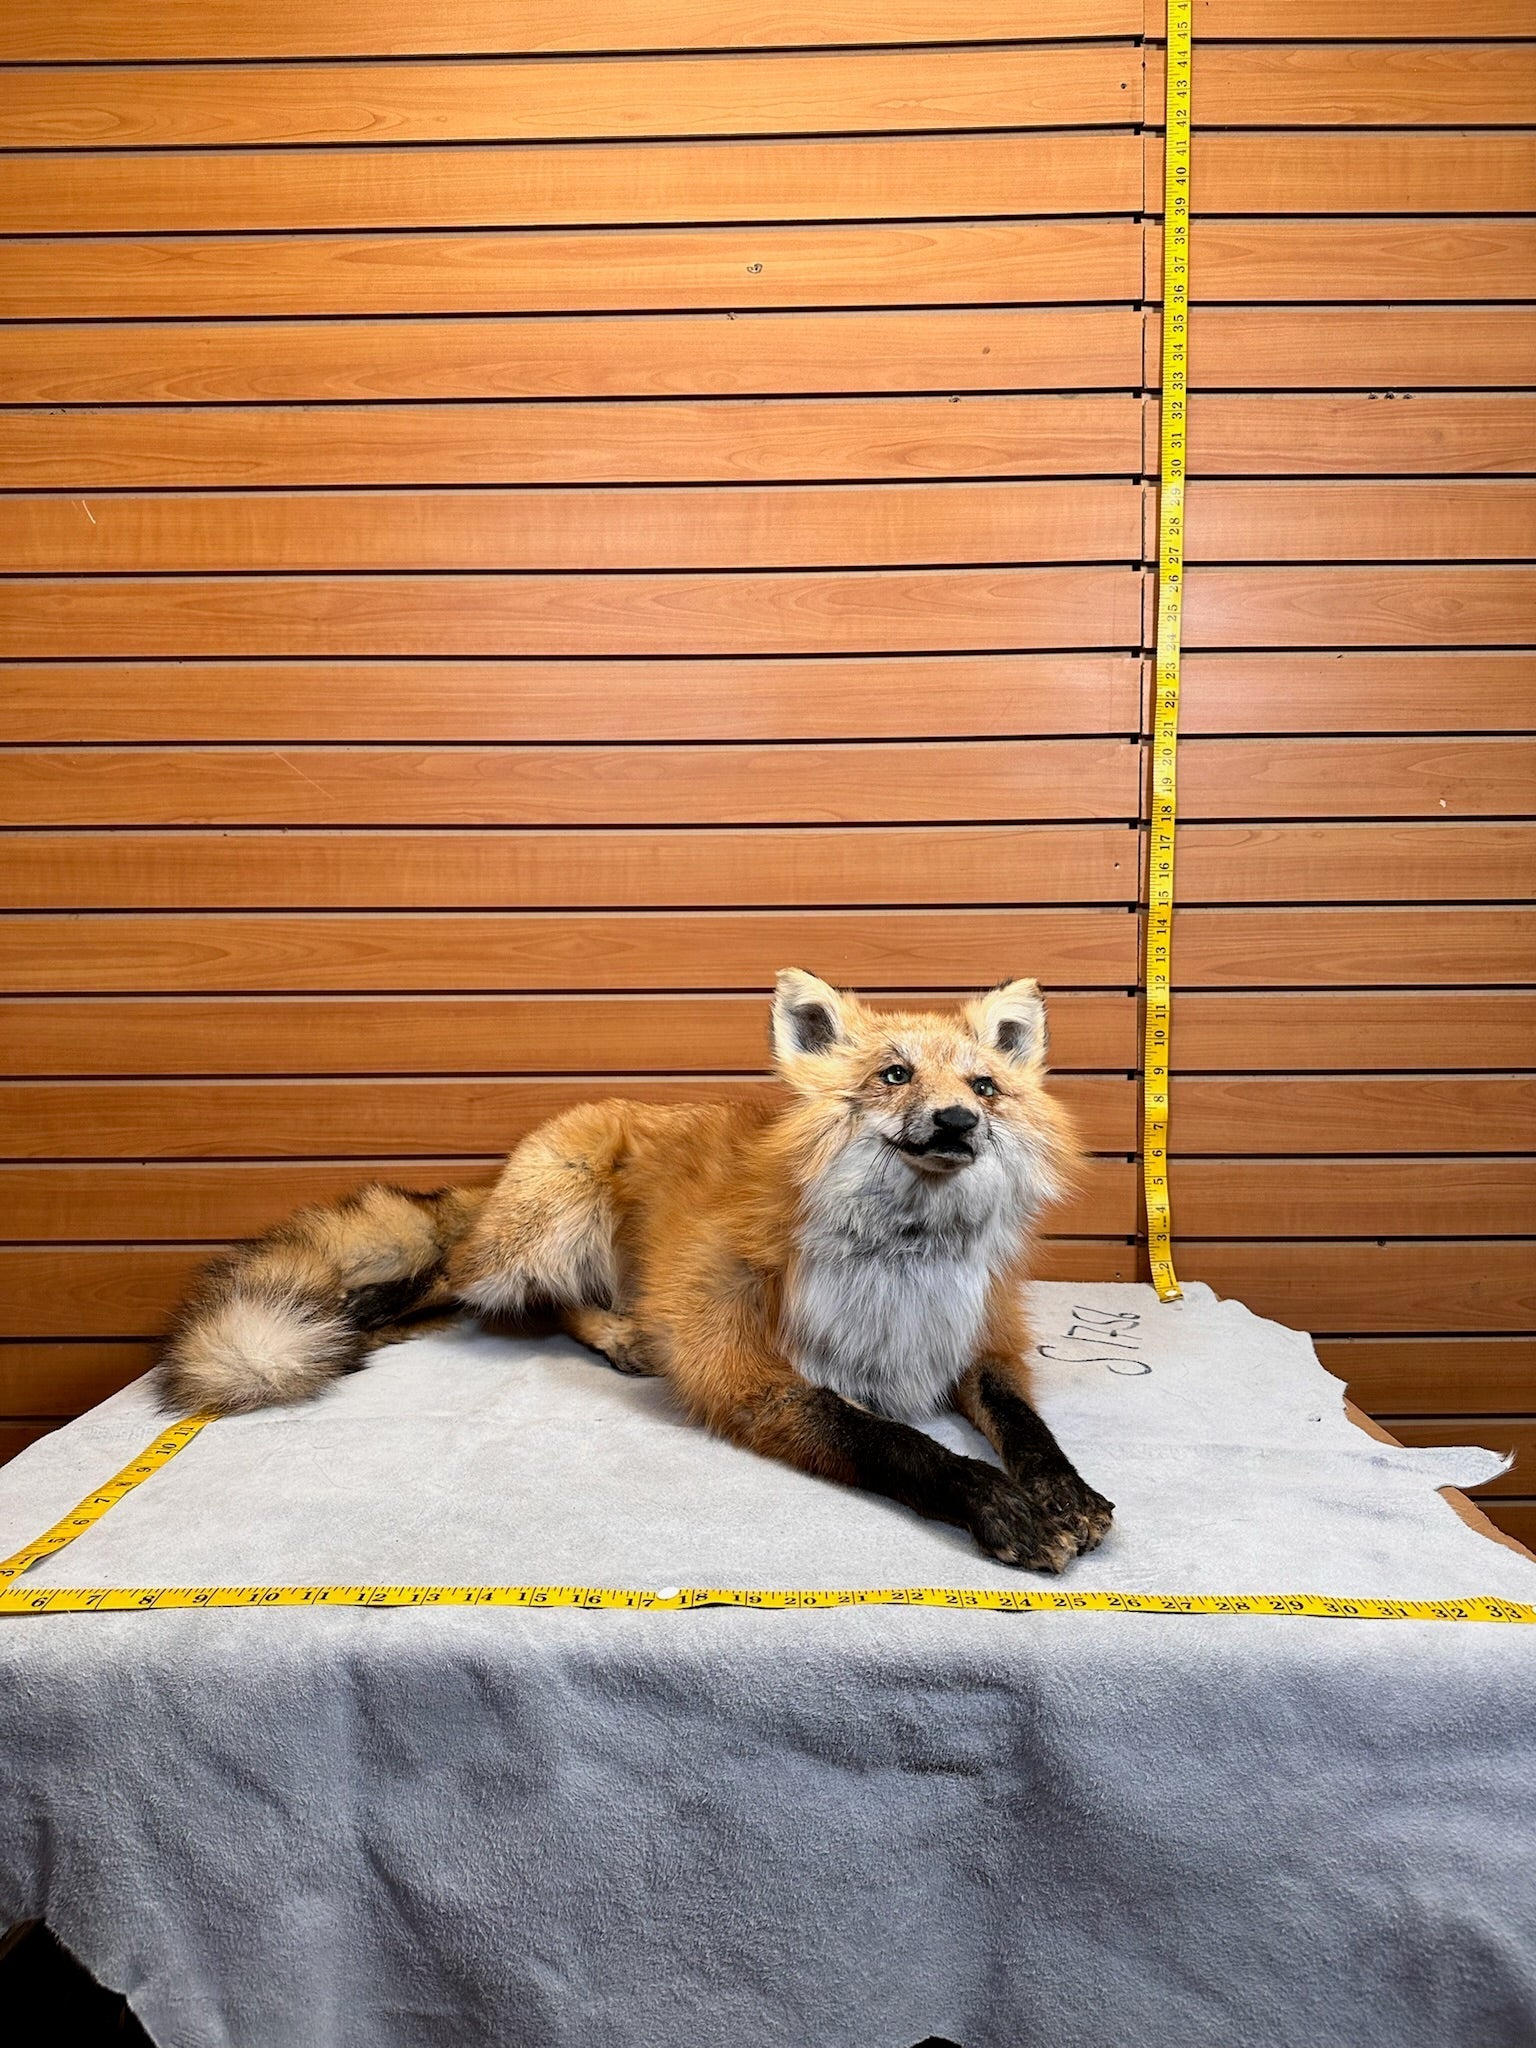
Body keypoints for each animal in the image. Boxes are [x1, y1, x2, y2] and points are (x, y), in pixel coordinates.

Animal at [159, 971, 1112, 1571]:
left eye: (984, 1088)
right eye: (894, 1075)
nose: (956, 1122)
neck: (906, 1260)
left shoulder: (979, 1339)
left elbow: (1025, 1425)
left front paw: (1064, 1492)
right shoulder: (740, 1364)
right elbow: (894, 1442)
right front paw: (1001, 1507)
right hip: (536, 1234)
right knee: (481, 1296)